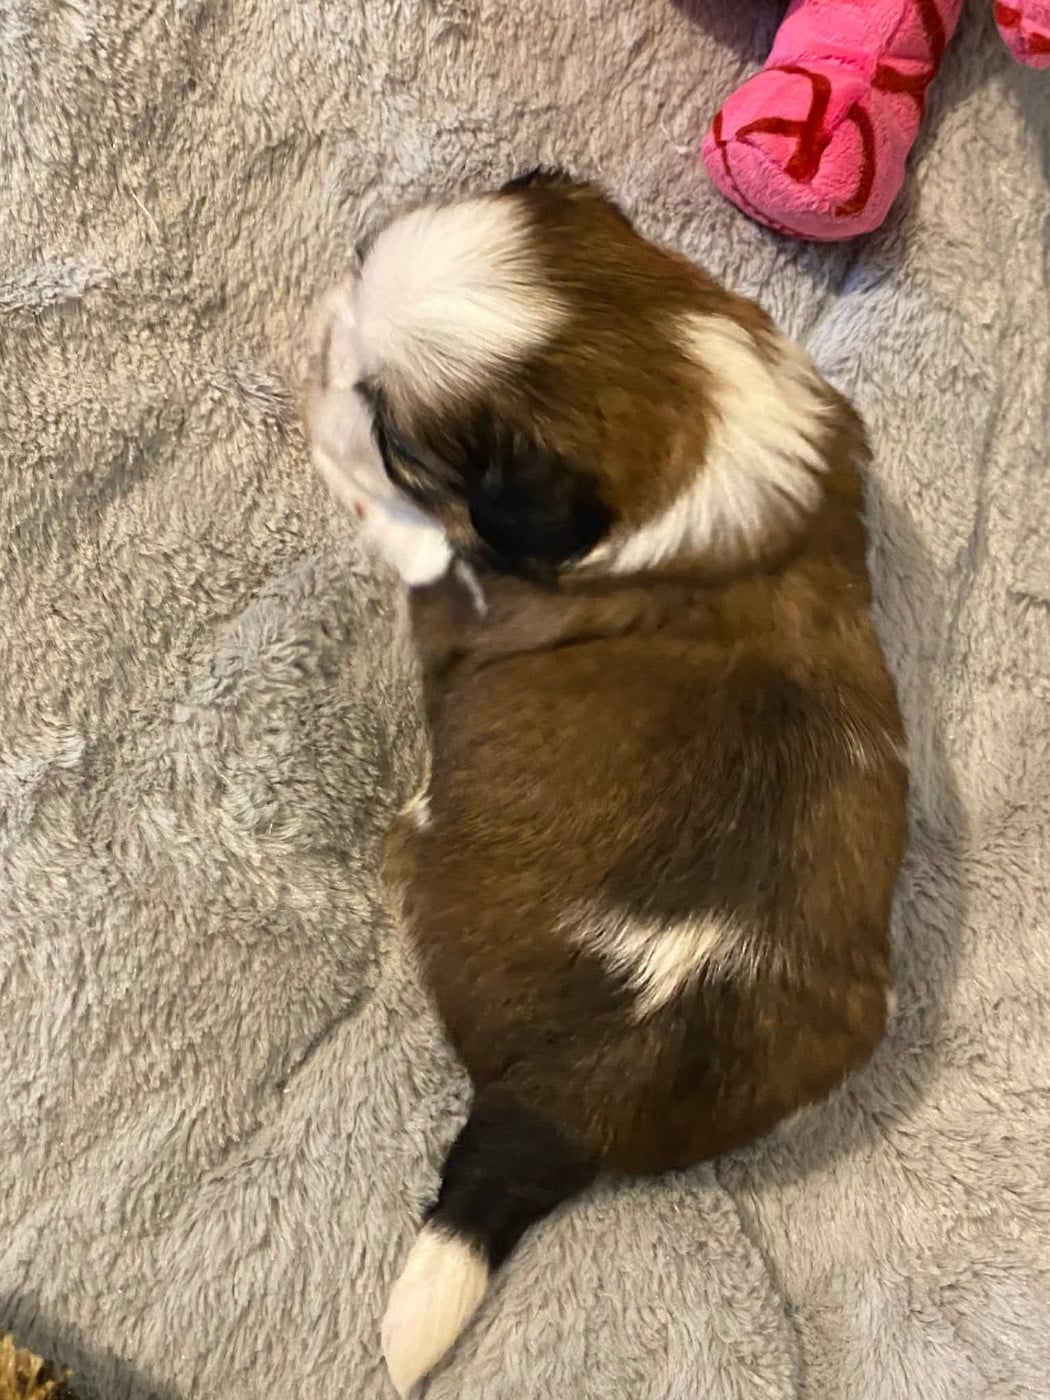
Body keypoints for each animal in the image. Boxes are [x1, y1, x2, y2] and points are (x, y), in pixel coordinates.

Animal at [302, 170, 908, 1396]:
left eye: (398, 432)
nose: (330, 317)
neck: (672, 375)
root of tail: (566, 1107)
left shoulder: (459, 585)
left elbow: (407, 535)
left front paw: (323, 421)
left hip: (429, 848)